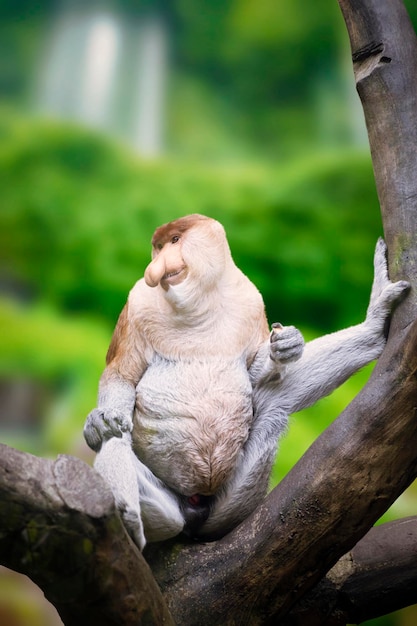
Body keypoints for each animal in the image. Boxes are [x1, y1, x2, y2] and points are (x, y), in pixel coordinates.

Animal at [83, 213, 406, 544]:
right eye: (158, 248)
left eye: (174, 241)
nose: (156, 266)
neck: (197, 307)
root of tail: (195, 504)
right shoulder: (137, 304)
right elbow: (120, 378)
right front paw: (99, 423)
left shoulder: (250, 301)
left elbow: (257, 371)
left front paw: (287, 344)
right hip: (174, 506)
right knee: (119, 439)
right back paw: (128, 515)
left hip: (231, 500)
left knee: (277, 400)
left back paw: (372, 330)